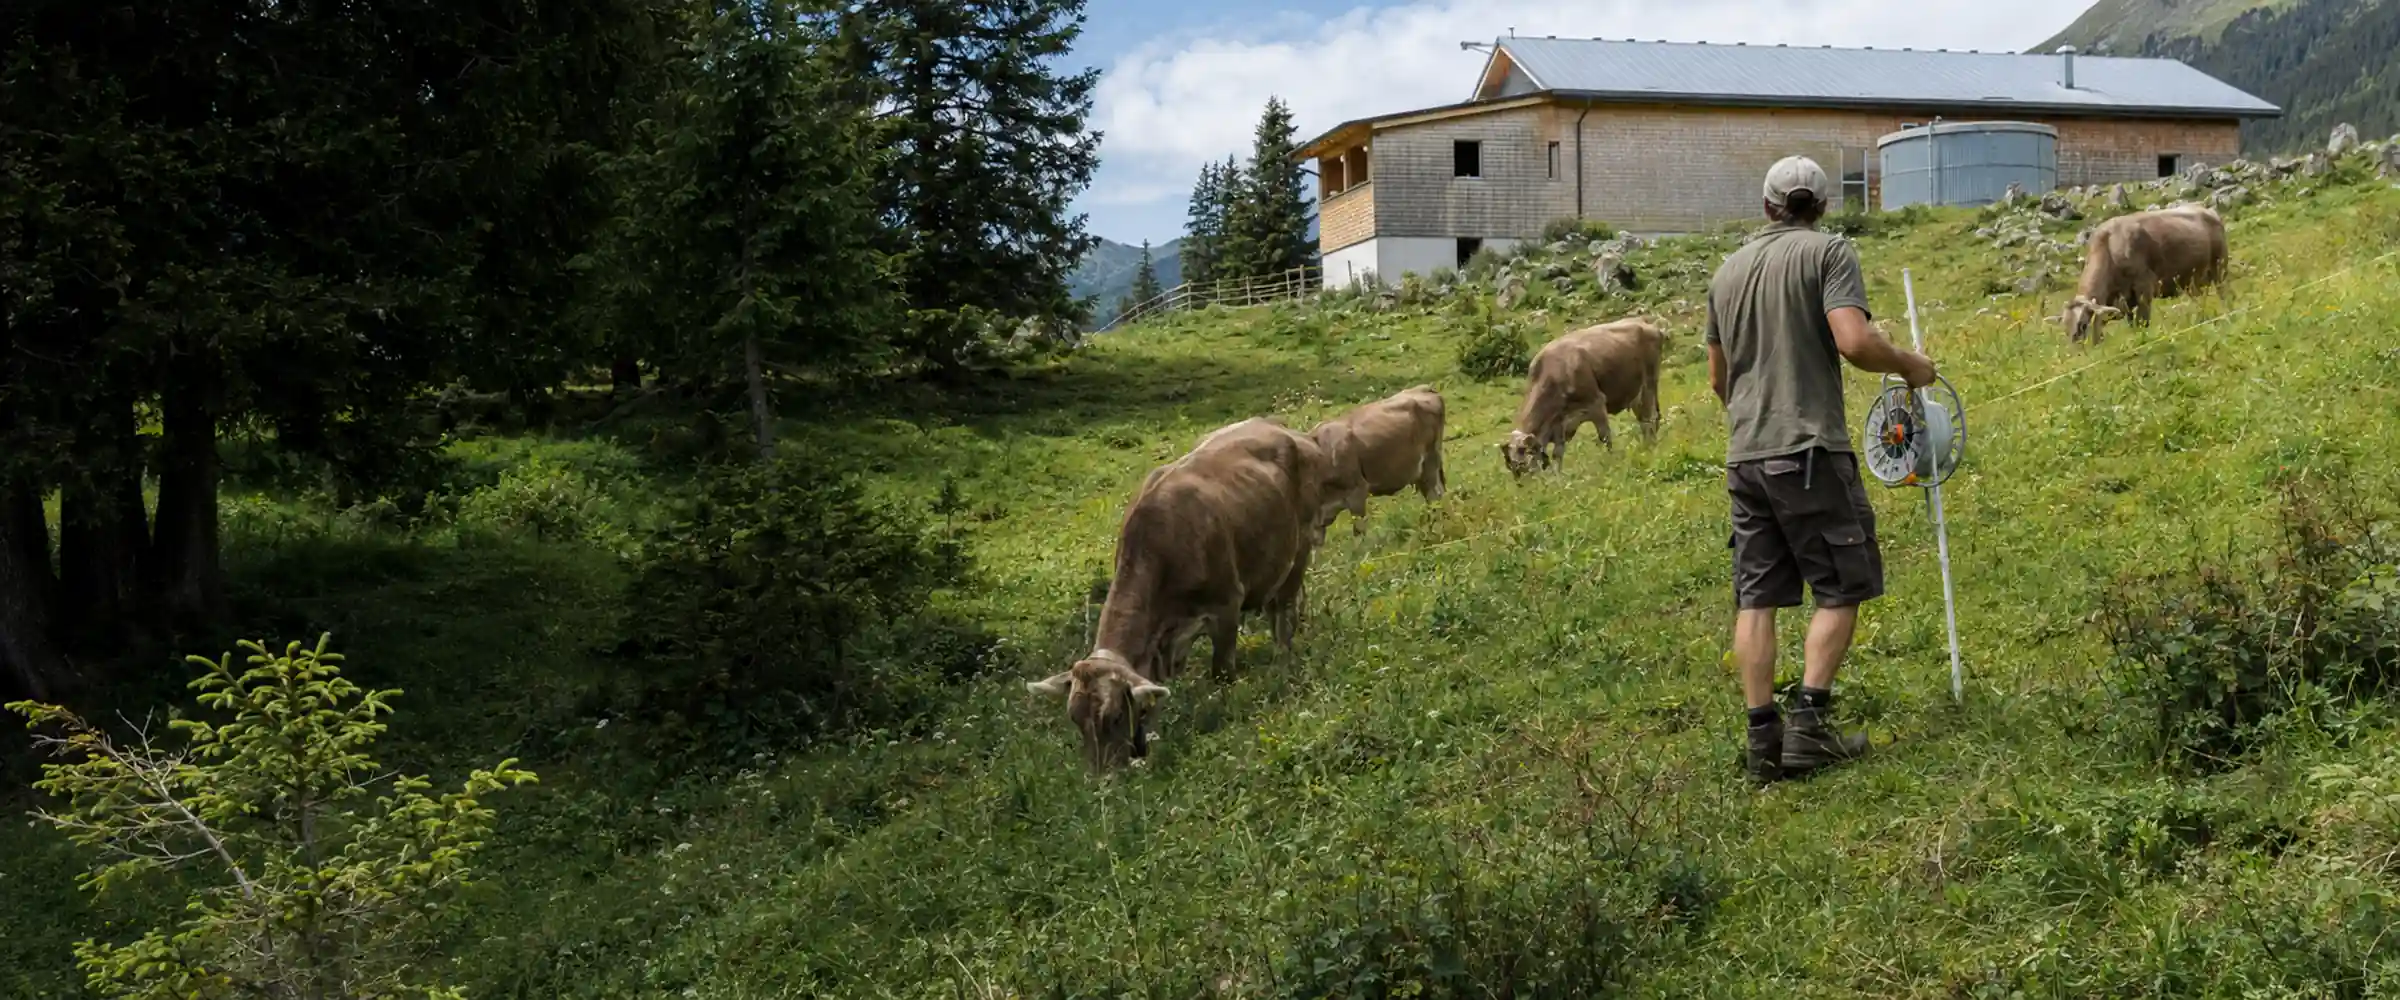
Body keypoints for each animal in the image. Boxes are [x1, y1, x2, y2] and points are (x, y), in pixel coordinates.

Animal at [1025, 417, 1330, 771]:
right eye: (1075, 719)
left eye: (1114, 717)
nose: (1103, 778)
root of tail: (1278, 425)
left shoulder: (1226, 606)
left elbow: (1222, 674)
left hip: (1301, 545)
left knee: (1283, 610)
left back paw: (1283, 659)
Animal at [1307, 385, 1447, 538]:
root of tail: (1424, 387)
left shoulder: (1357, 492)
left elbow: (1359, 532)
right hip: (1419, 472)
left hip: (1430, 462)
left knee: (1436, 497)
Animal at [1500, 318, 1670, 477]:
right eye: (1511, 467)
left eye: (1523, 464)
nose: (1524, 486)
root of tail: (1645, 323)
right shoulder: (1559, 424)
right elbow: (1558, 454)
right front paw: (1557, 478)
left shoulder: (1597, 403)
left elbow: (1605, 438)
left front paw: (1609, 463)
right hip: (1635, 395)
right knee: (1646, 421)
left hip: (1648, 386)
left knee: (1650, 420)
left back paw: (1649, 448)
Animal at [2060, 204, 2230, 345]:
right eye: (2065, 328)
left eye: (2083, 325)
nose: (2077, 350)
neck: (2109, 248)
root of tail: (2208, 210)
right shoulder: (2127, 300)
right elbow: (2132, 323)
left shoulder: (2144, 286)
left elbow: (2143, 321)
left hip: (2220, 266)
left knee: (2224, 293)